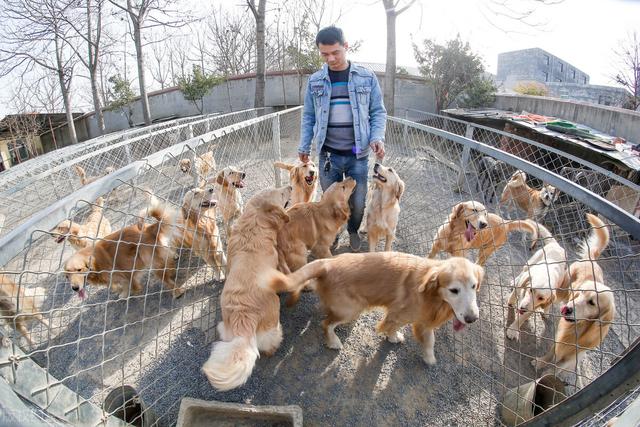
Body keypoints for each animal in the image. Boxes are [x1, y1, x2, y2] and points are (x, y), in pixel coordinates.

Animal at [201, 186, 292, 392]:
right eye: (281, 194)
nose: (290, 187)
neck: (255, 221)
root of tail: (243, 319)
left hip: (224, 329)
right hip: (273, 326)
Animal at [264, 252, 480, 366]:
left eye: (474, 286)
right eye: (454, 290)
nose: (472, 318)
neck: (430, 292)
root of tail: (328, 262)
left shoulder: (422, 319)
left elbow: (429, 339)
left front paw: (427, 355)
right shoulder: (398, 313)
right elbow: (393, 326)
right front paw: (394, 338)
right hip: (352, 309)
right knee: (326, 323)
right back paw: (333, 341)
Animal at [528, 214, 616, 378]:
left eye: (592, 303)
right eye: (580, 292)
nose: (567, 309)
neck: (578, 329)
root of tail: (592, 260)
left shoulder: (572, 358)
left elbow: (554, 369)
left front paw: (545, 375)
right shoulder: (559, 340)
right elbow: (551, 354)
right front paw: (540, 362)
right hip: (563, 288)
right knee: (553, 298)